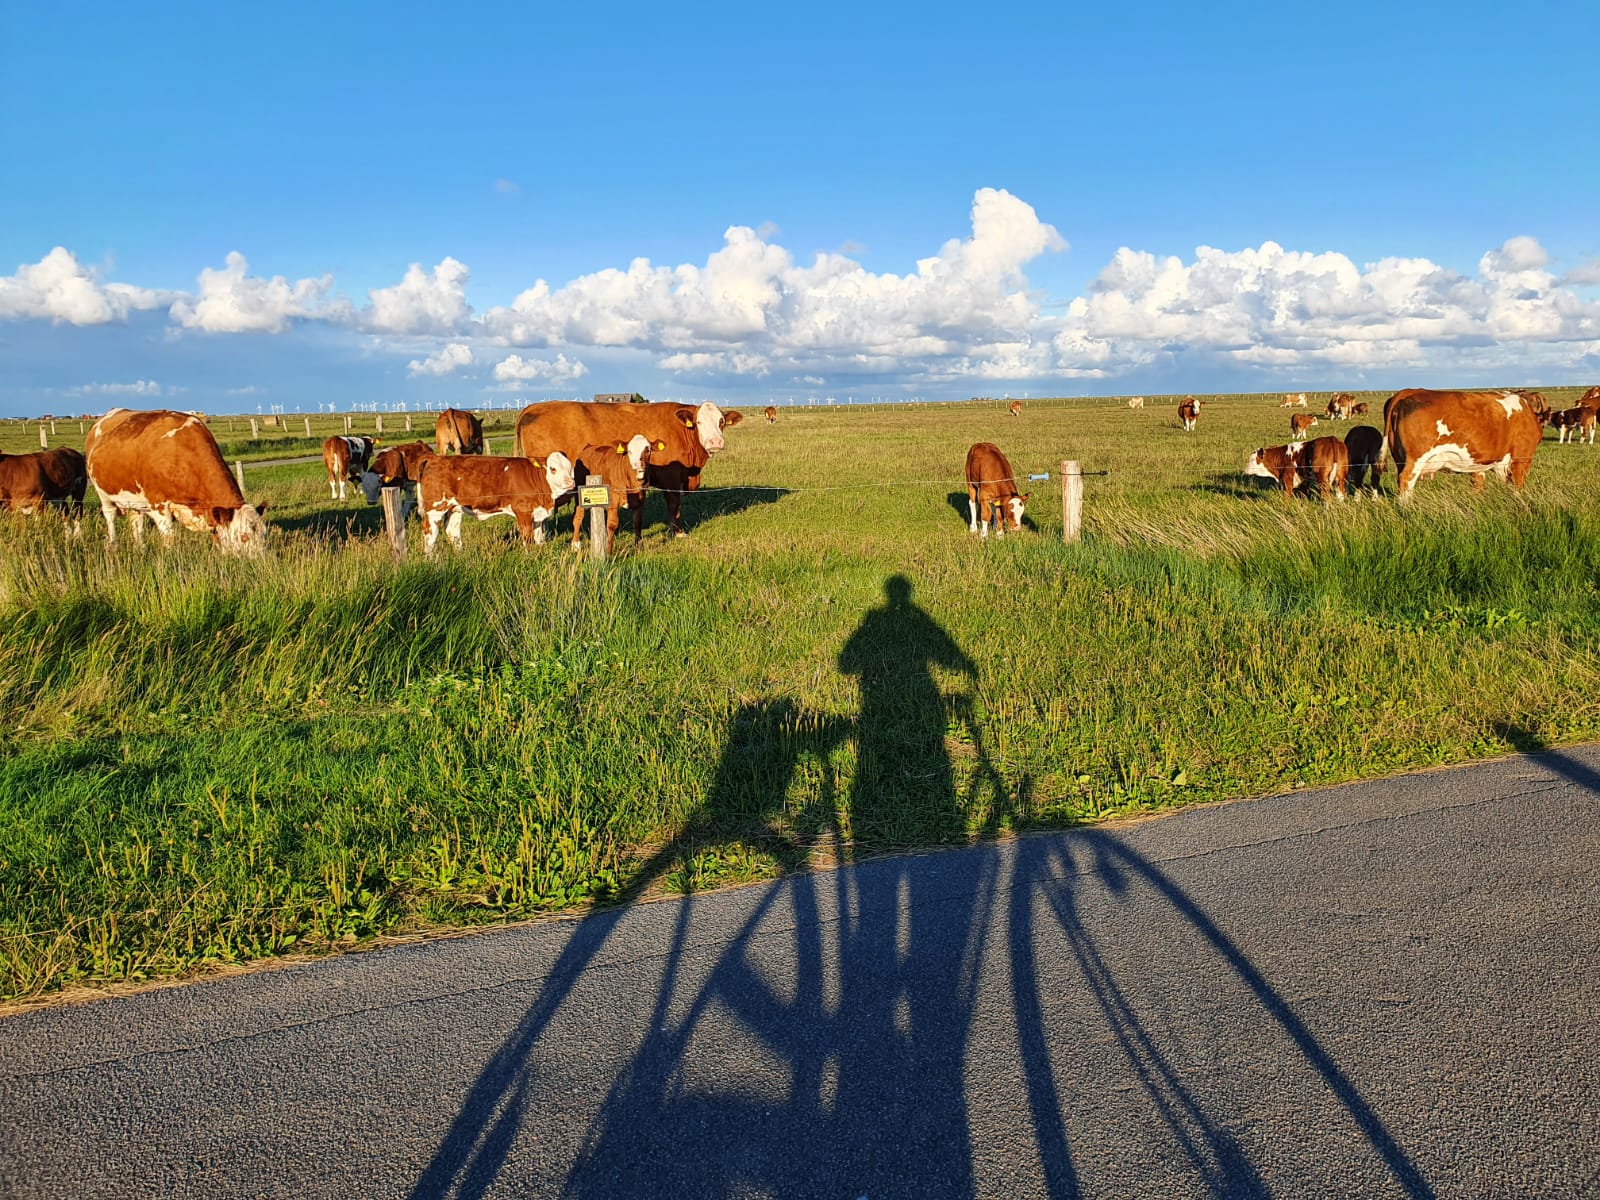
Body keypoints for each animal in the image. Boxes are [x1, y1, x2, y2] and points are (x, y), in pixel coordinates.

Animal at [84, 408, 268, 554]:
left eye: (264, 533)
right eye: (243, 537)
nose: (260, 562)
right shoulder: (159, 505)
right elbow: (169, 539)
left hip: (133, 497)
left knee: (136, 521)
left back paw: (141, 548)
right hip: (102, 492)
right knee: (110, 515)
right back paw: (113, 544)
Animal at [415, 452, 575, 556]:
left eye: (570, 468)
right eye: (553, 468)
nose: (570, 482)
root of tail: (434, 458)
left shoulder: (537, 513)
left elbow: (539, 537)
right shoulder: (523, 511)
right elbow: (527, 537)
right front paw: (529, 556)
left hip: (454, 507)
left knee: (452, 531)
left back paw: (461, 556)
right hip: (436, 507)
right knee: (430, 531)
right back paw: (431, 560)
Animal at [513, 400, 742, 539]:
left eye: (721, 421)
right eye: (698, 421)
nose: (715, 441)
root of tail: (533, 407)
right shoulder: (671, 478)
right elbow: (674, 506)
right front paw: (678, 533)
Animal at [1382, 389, 1542, 499]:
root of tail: (1408, 391)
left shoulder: (1479, 464)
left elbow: (1477, 484)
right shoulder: (1521, 459)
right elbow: (1517, 488)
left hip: (1399, 458)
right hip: (1416, 459)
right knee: (1406, 481)